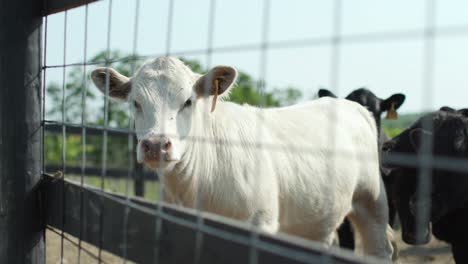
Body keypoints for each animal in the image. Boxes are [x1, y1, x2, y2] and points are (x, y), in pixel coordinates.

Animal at [90, 56, 392, 258]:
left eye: (188, 102)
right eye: (136, 103)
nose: (155, 145)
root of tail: (350, 105)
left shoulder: (261, 222)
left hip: (372, 203)